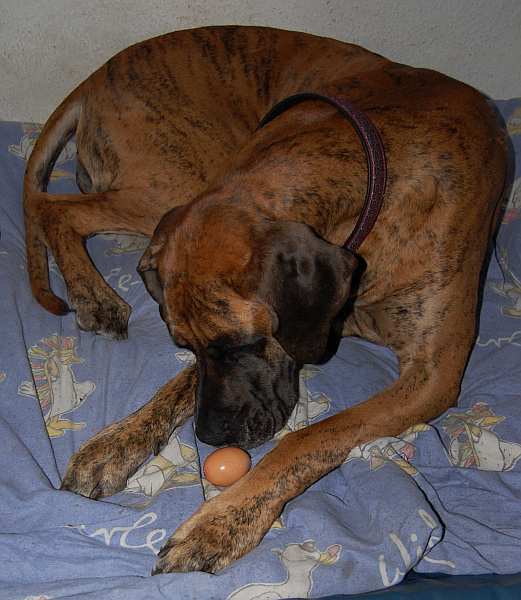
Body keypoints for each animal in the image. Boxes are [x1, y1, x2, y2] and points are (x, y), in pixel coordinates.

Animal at [23, 26, 508, 574]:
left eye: (243, 344)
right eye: (184, 345)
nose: (210, 436)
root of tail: (93, 79)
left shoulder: (432, 375)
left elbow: (313, 436)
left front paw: (221, 522)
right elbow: (178, 387)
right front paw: (115, 441)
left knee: (57, 210)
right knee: (56, 211)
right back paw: (94, 296)